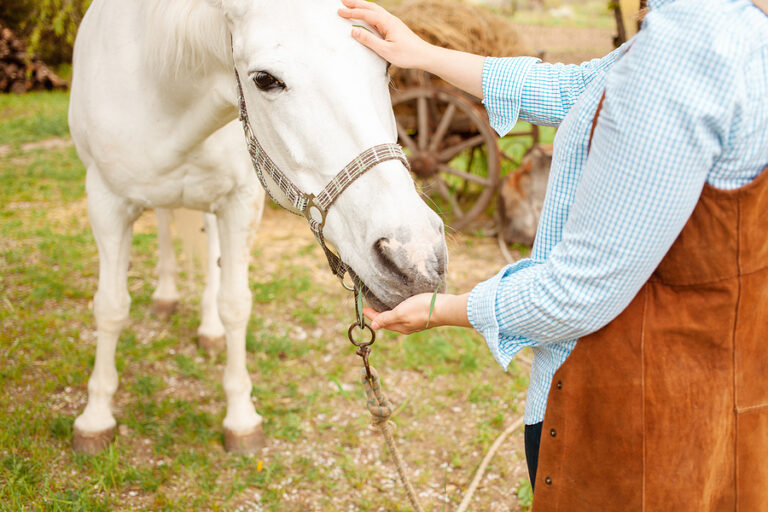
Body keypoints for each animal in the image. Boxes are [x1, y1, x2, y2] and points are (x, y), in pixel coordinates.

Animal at [68, 0, 448, 455]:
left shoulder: (240, 201)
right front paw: (95, 417)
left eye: (386, 64)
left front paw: (240, 418)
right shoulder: (104, 201)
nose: (415, 258)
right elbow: (110, 307)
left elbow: (234, 304)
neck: (162, 91)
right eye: (265, 80)